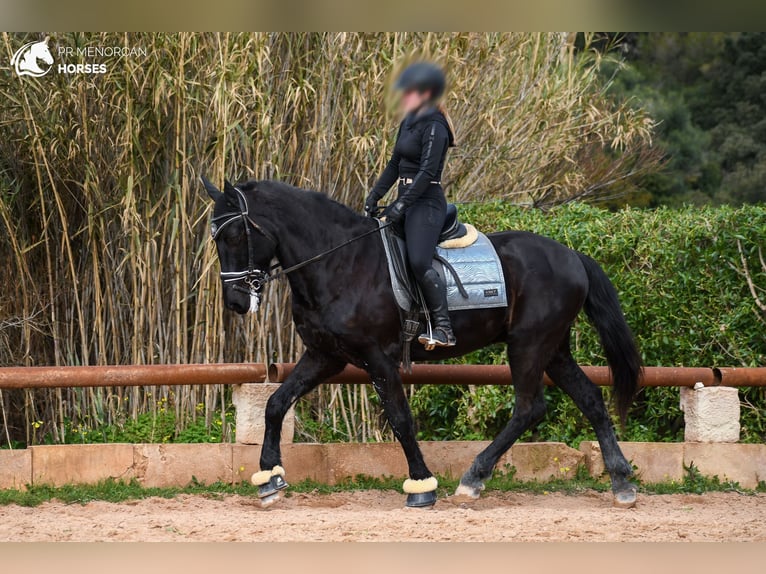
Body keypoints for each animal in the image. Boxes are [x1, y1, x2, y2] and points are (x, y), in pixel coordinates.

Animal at [202, 179, 640, 508]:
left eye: (237, 234)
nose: (237, 302)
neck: (339, 263)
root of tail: (572, 255)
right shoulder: (325, 356)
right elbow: (276, 404)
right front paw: (269, 478)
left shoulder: (377, 359)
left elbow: (400, 419)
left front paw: (421, 486)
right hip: (554, 349)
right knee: (590, 399)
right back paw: (621, 482)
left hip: (529, 345)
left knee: (529, 407)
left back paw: (473, 478)